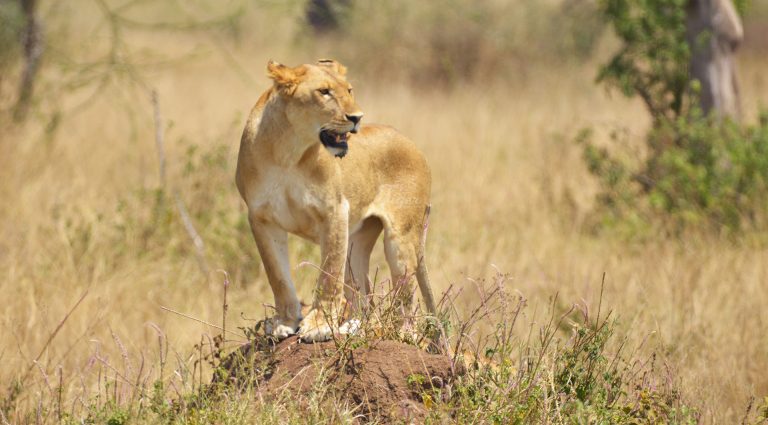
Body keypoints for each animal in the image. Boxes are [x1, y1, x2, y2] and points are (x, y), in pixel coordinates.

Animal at [235, 59, 437, 342]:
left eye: (349, 90)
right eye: (324, 92)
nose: (357, 118)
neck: (288, 151)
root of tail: (411, 142)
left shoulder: (334, 210)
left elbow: (329, 273)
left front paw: (318, 326)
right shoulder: (261, 218)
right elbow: (277, 275)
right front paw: (285, 322)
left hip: (401, 240)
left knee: (406, 303)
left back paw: (400, 335)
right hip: (356, 240)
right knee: (365, 297)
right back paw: (350, 327)